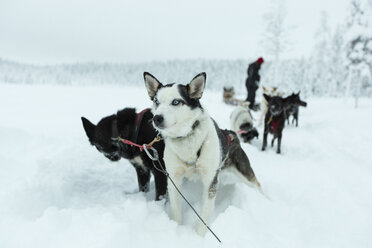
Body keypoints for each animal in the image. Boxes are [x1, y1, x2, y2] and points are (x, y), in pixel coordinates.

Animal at [144, 71, 264, 236]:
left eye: (176, 102)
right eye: (156, 101)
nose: (157, 118)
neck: (186, 138)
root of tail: (231, 133)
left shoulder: (210, 182)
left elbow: (205, 214)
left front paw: (200, 235)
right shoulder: (174, 179)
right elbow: (176, 210)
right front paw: (175, 229)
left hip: (245, 174)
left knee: (258, 186)